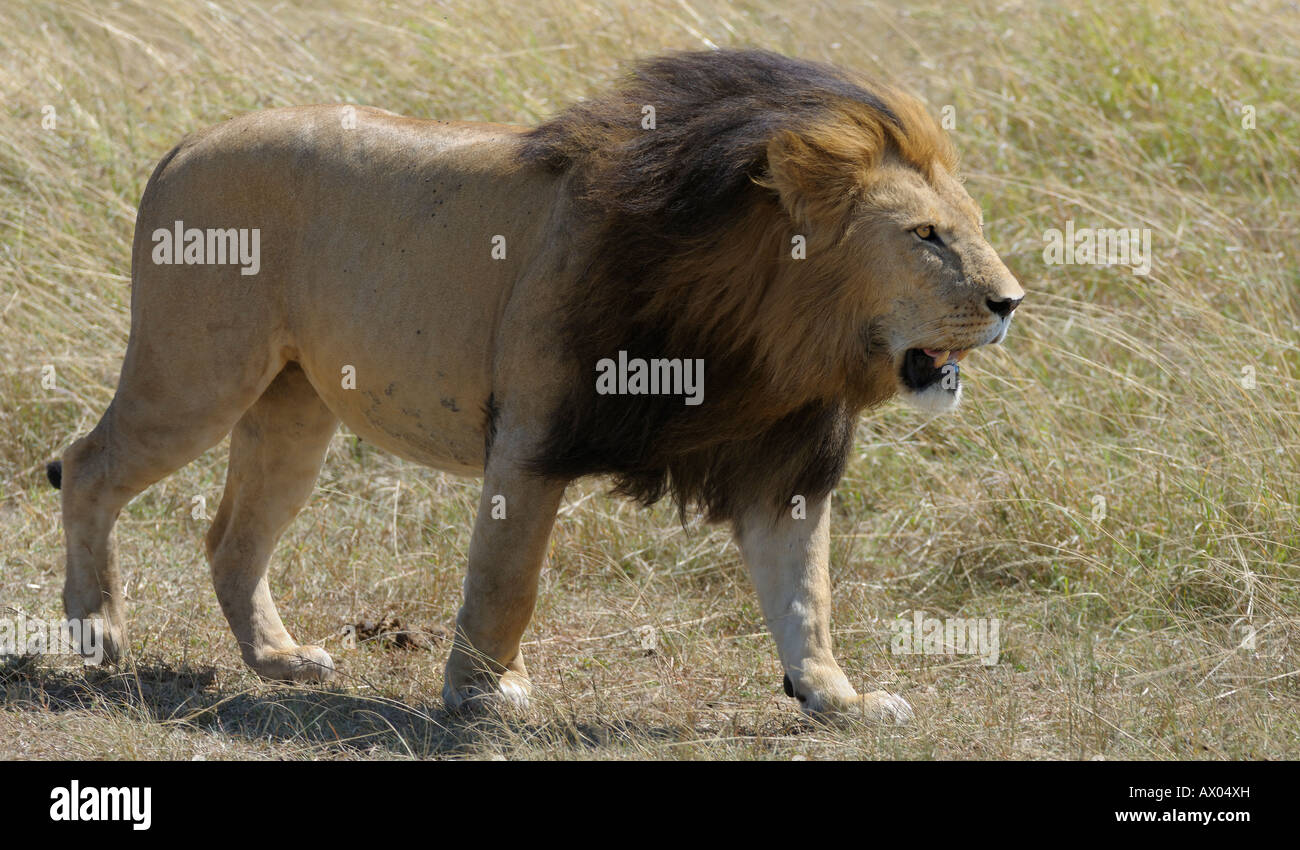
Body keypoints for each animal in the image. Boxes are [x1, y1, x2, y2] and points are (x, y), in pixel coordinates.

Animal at [47, 49, 1022, 722]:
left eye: (968, 227)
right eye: (926, 235)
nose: (1010, 301)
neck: (765, 334)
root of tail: (185, 144)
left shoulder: (783, 466)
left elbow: (806, 596)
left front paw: (836, 699)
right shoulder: (531, 438)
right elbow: (506, 579)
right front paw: (484, 694)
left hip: (292, 405)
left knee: (232, 538)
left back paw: (280, 661)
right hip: (195, 374)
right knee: (88, 466)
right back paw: (99, 634)